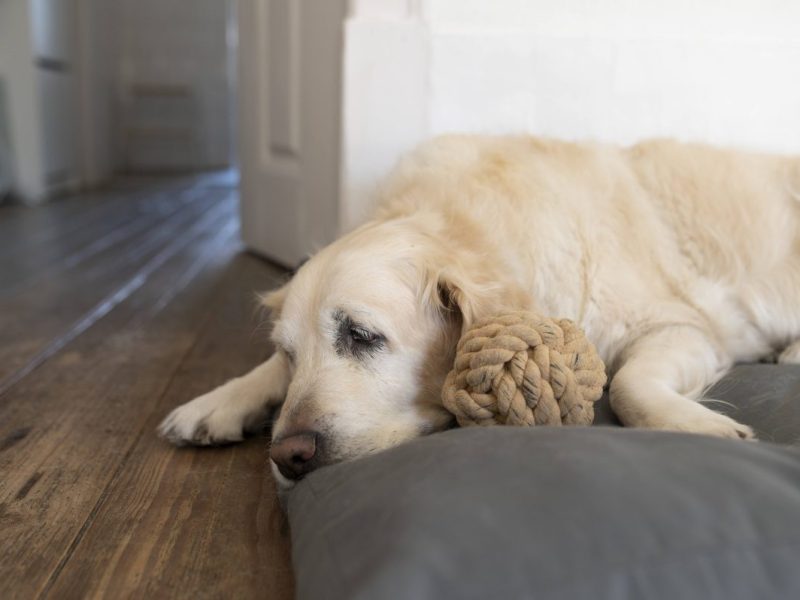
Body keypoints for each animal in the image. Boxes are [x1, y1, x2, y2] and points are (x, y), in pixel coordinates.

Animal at [159, 136, 800, 488]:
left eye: (362, 335)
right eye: (292, 354)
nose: (287, 456)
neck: (472, 227)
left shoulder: (681, 325)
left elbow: (629, 385)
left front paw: (698, 426)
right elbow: (261, 373)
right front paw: (217, 401)